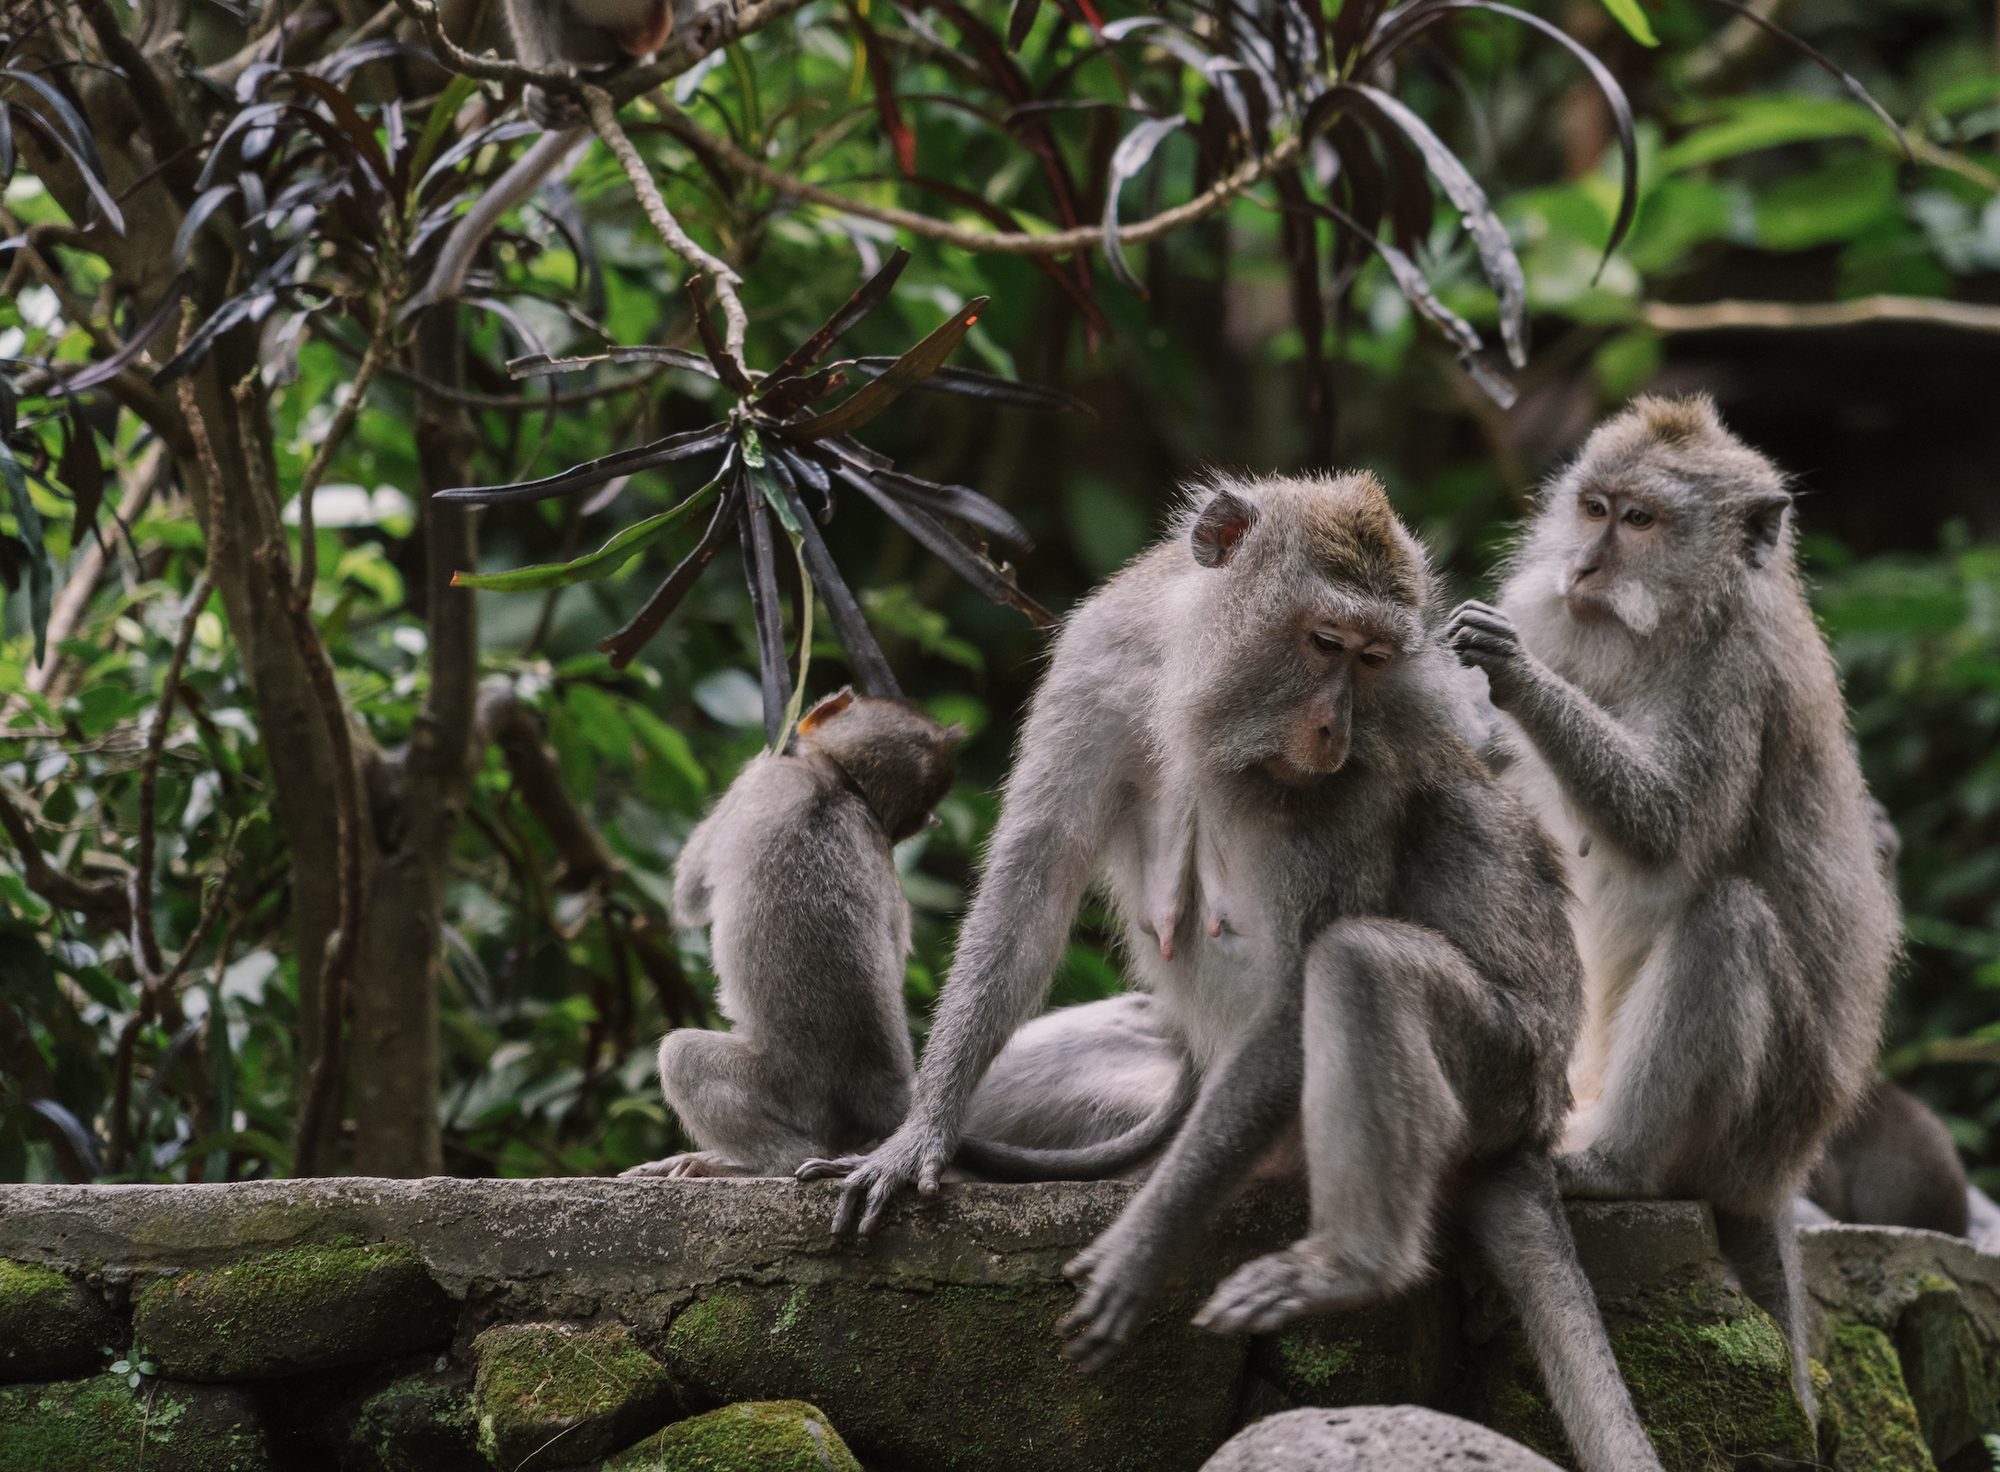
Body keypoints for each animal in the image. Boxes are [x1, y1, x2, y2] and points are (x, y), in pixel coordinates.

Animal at [800, 474, 1663, 1472]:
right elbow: (1033, 885)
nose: (1331, 728)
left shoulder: (1357, 776)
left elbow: (1297, 988)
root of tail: (1535, 1124)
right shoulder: (1101, 662)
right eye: (1324, 642)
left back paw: (1349, 1263)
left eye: (1373, 659)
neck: (1194, 679)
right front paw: (919, 1137)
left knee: (1358, 967)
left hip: (1504, 1070)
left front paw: (1143, 1245)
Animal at [1444, 394, 1901, 1423]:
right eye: (1593, 507)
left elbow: (1665, 830)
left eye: (1641, 521)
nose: (1581, 567)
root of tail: (1780, 1176)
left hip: (1760, 1126)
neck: (1673, 624)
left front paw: (1518, 676)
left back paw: (1616, 1166)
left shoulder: (1732, 681)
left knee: (1726, 921)